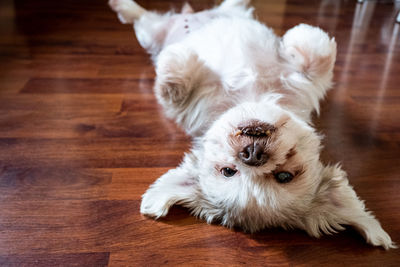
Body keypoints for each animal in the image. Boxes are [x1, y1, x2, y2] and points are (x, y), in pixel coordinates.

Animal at [108, 0, 396, 250]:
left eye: (284, 177)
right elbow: (173, 79)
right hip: (153, 32)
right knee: (143, 16)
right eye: (228, 171)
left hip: (164, 28)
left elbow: (317, 54)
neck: (253, 96)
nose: (253, 154)